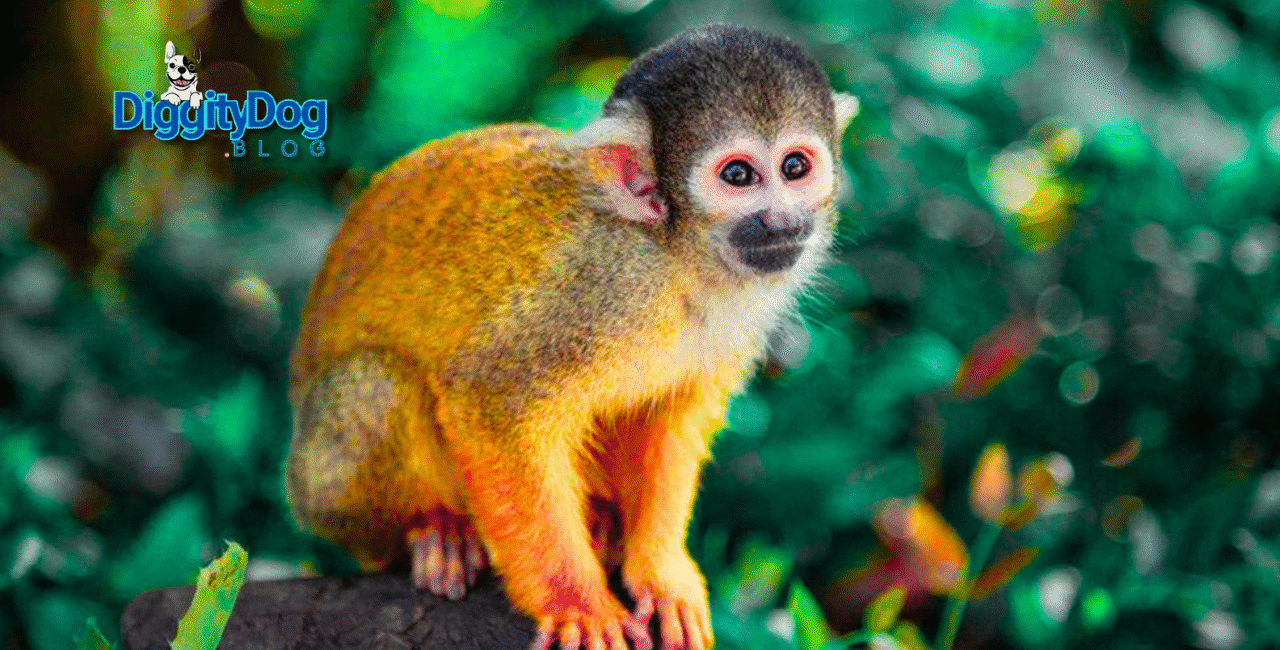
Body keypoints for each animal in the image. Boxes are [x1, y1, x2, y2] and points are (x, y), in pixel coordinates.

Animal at [285, 23, 859, 650]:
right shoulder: (596, 288)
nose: (784, 221)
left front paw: (660, 569)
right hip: (325, 493)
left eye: (796, 167)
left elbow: (671, 421)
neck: (677, 257)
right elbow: (493, 401)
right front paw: (576, 602)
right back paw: (434, 527)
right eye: (738, 176)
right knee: (374, 381)